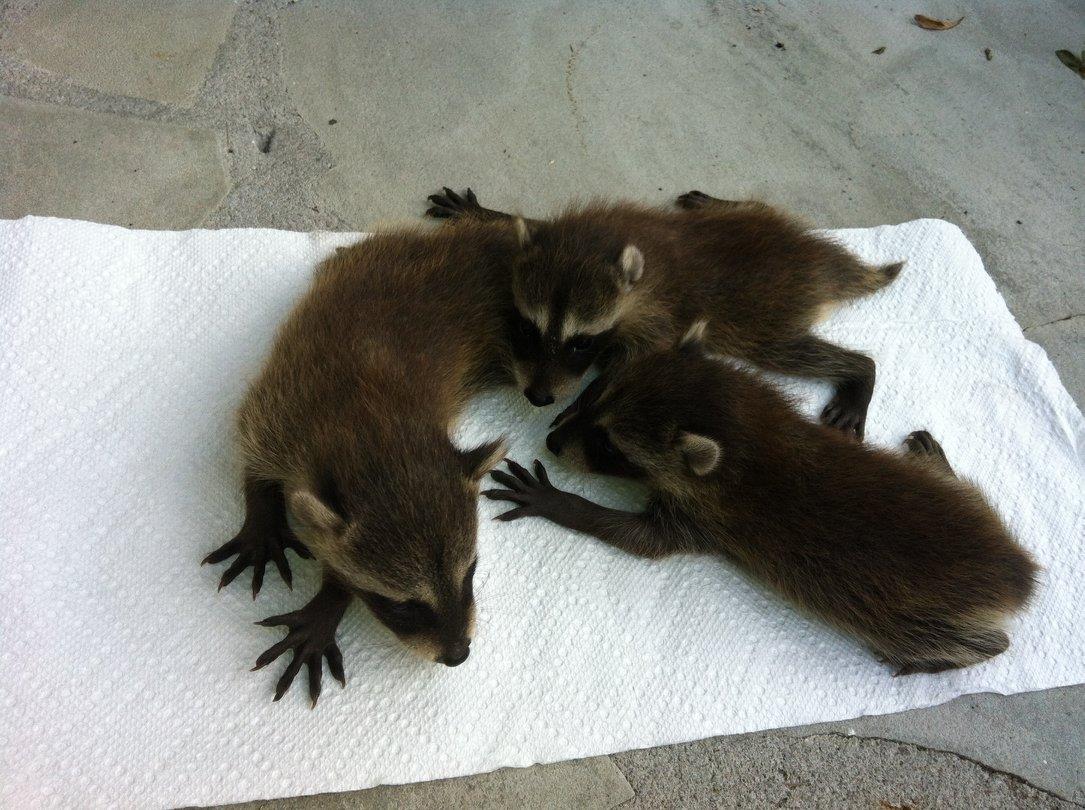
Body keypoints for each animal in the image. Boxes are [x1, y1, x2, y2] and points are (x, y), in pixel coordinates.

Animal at [205, 220, 527, 702]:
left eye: (469, 573)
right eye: (403, 604)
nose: (458, 655)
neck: (376, 433)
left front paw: (331, 599)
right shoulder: (281, 408)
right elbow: (251, 449)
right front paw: (262, 518)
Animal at [427, 186, 902, 440]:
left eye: (581, 343)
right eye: (528, 329)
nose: (539, 397)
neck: (599, 242)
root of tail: (817, 257)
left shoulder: (657, 311)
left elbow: (642, 354)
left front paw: (592, 394)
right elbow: (527, 227)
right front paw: (485, 212)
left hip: (768, 315)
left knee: (790, 351)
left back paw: (859, 371)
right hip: (763, 226)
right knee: (758, 207)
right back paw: (723, 202)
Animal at [488, 323, 1037, 676]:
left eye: (608, 446)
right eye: (595, 392)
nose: (552, 440)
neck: (749, 431)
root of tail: (1018, 573)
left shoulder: (703, 517)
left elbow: (642, 540)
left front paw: (559, 502)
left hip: (916, 615)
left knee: (978, 640)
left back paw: (961, 652)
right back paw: (942, 468)